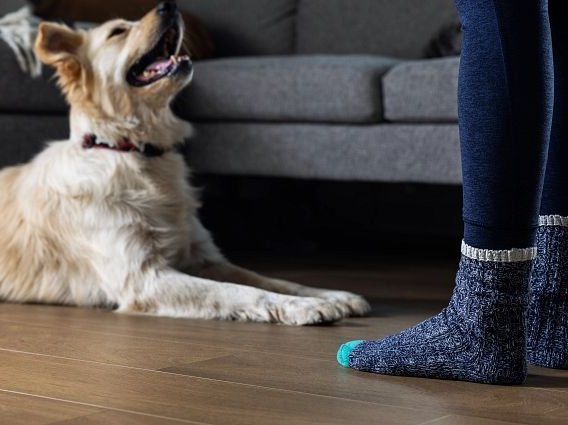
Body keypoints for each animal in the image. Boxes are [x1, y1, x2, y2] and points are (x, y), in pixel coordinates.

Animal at [0, 0, 370, 324]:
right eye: (118, 31)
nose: (169, 4)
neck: (131, 151)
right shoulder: (144, 278)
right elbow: (238, 292)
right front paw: (303, 308)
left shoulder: (204, 257)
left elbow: (268, 279)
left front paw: (330, 295)